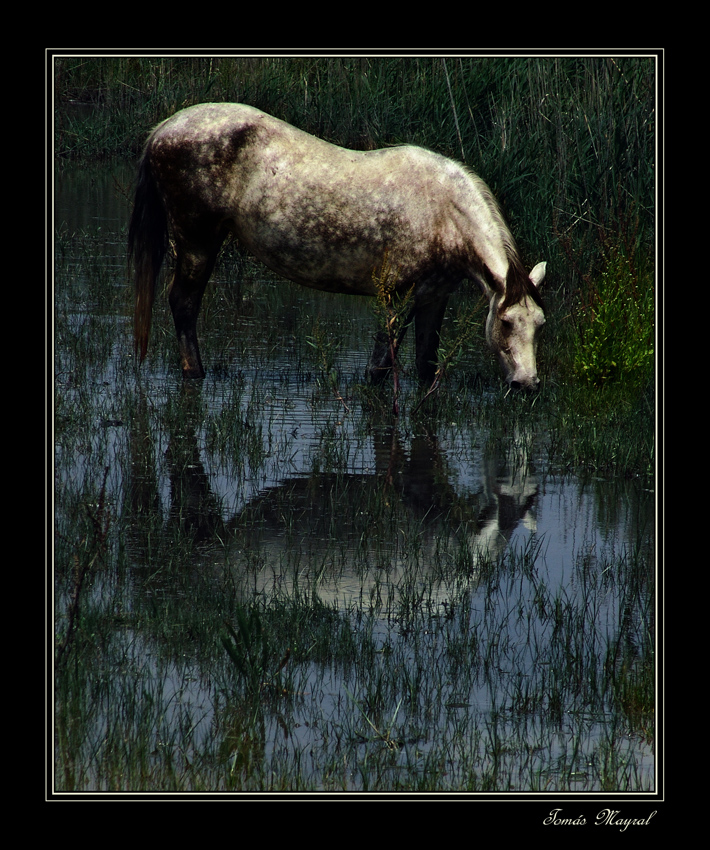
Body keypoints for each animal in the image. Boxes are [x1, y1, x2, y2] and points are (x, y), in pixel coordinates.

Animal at [129, 102, 552, 390]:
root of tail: (163, 129)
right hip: (197, 242)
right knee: (184, 304)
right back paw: (196, 374)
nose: (527, 383)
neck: (442, 214)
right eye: (505, 321)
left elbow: (426, 364)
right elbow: (380, 368)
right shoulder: (396, 296)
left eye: (539, 324)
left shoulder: (433, 297)